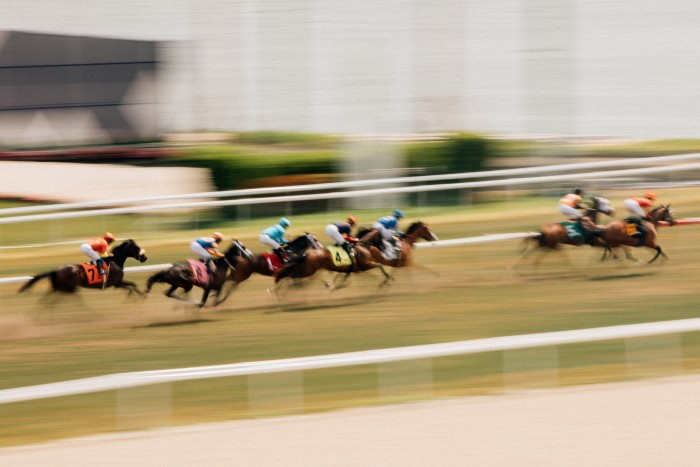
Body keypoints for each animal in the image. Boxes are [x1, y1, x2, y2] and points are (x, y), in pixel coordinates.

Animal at [18, 241, 148, 296]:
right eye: (136, 247)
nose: (145, 257)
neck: (115, 260)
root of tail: (57, 270)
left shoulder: (118, 283)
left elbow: (133, 285)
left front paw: (142, 295)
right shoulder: (117, 283)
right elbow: (131, 287)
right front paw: (139, 296)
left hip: (60, 287)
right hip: (67, 287)